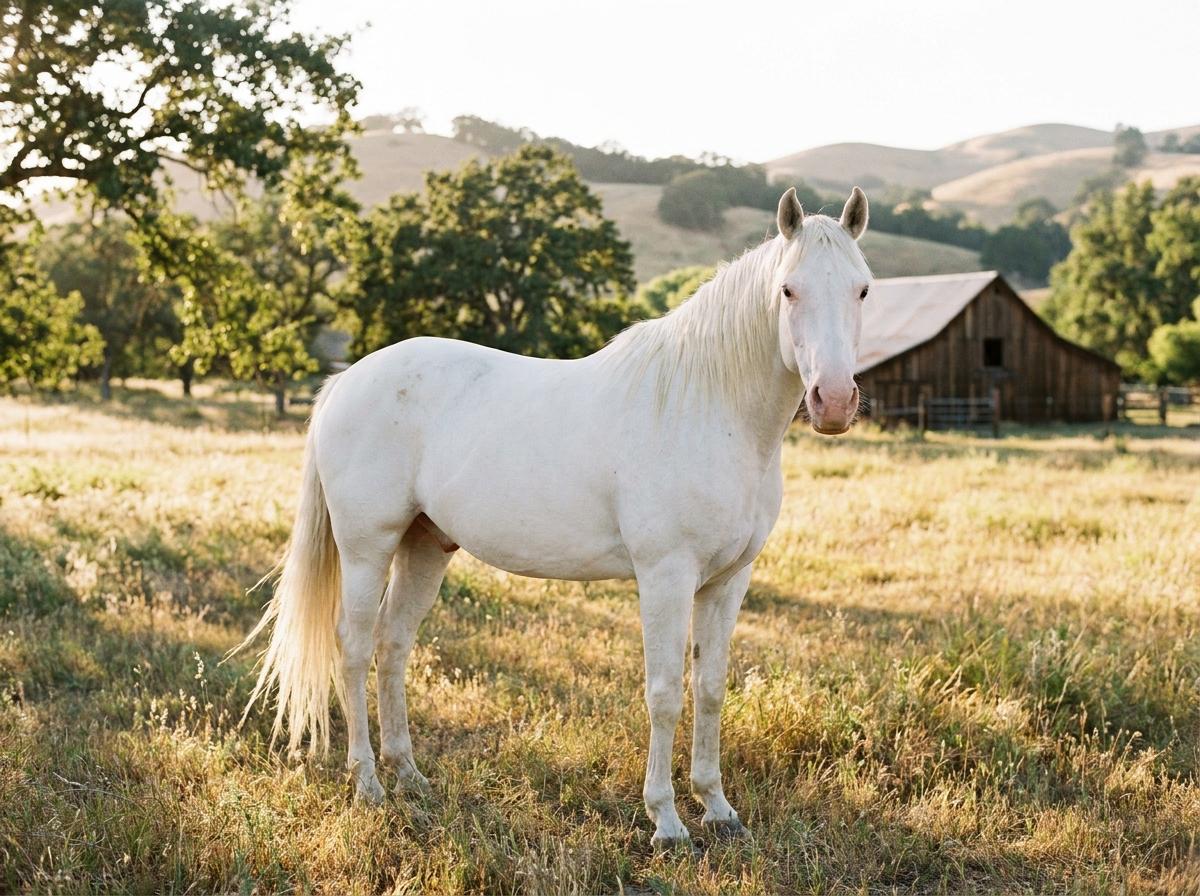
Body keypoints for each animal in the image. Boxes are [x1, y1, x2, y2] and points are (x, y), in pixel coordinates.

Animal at [239, 186, 873, 847]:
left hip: (424, 547)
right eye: (788, 290)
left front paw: (718, 809)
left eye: (863, 289)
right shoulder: (666, 577)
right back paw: (368, 784)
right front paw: (667, 821)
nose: (833, 402)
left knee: (393, 645)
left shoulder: (727, 582)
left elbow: (711, 689)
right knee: (355, 647)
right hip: (368, 548)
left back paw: (409, 776)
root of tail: (345, 382)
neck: (705, 407)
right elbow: (665, 694)